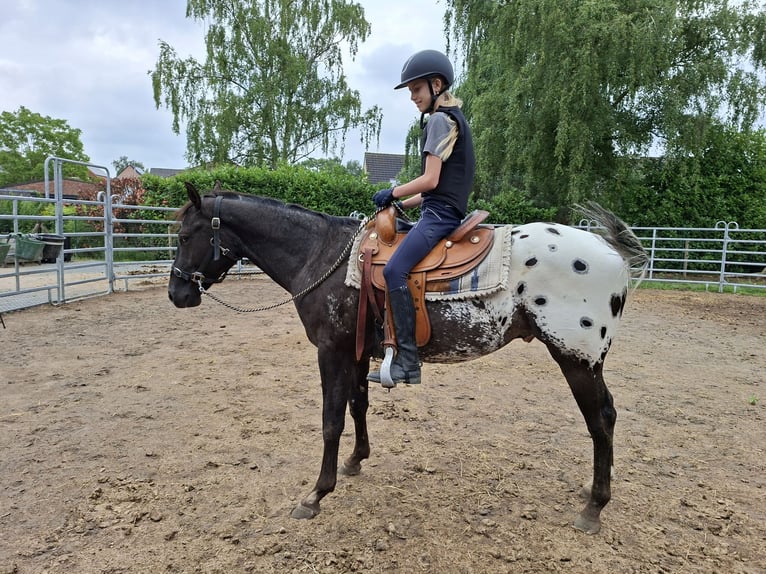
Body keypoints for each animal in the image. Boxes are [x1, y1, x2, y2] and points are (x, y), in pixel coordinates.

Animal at [168, 182, 648, 534]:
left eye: (185, 236)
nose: (177, 294)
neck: (322, 256)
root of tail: (612, 255)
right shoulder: (357, 352)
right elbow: (358, 405)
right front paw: (356, 460)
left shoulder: (332, 351)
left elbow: (330, 420)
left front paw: (316, 494)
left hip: (576, 358)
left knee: (601, 419)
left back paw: (594, 507)